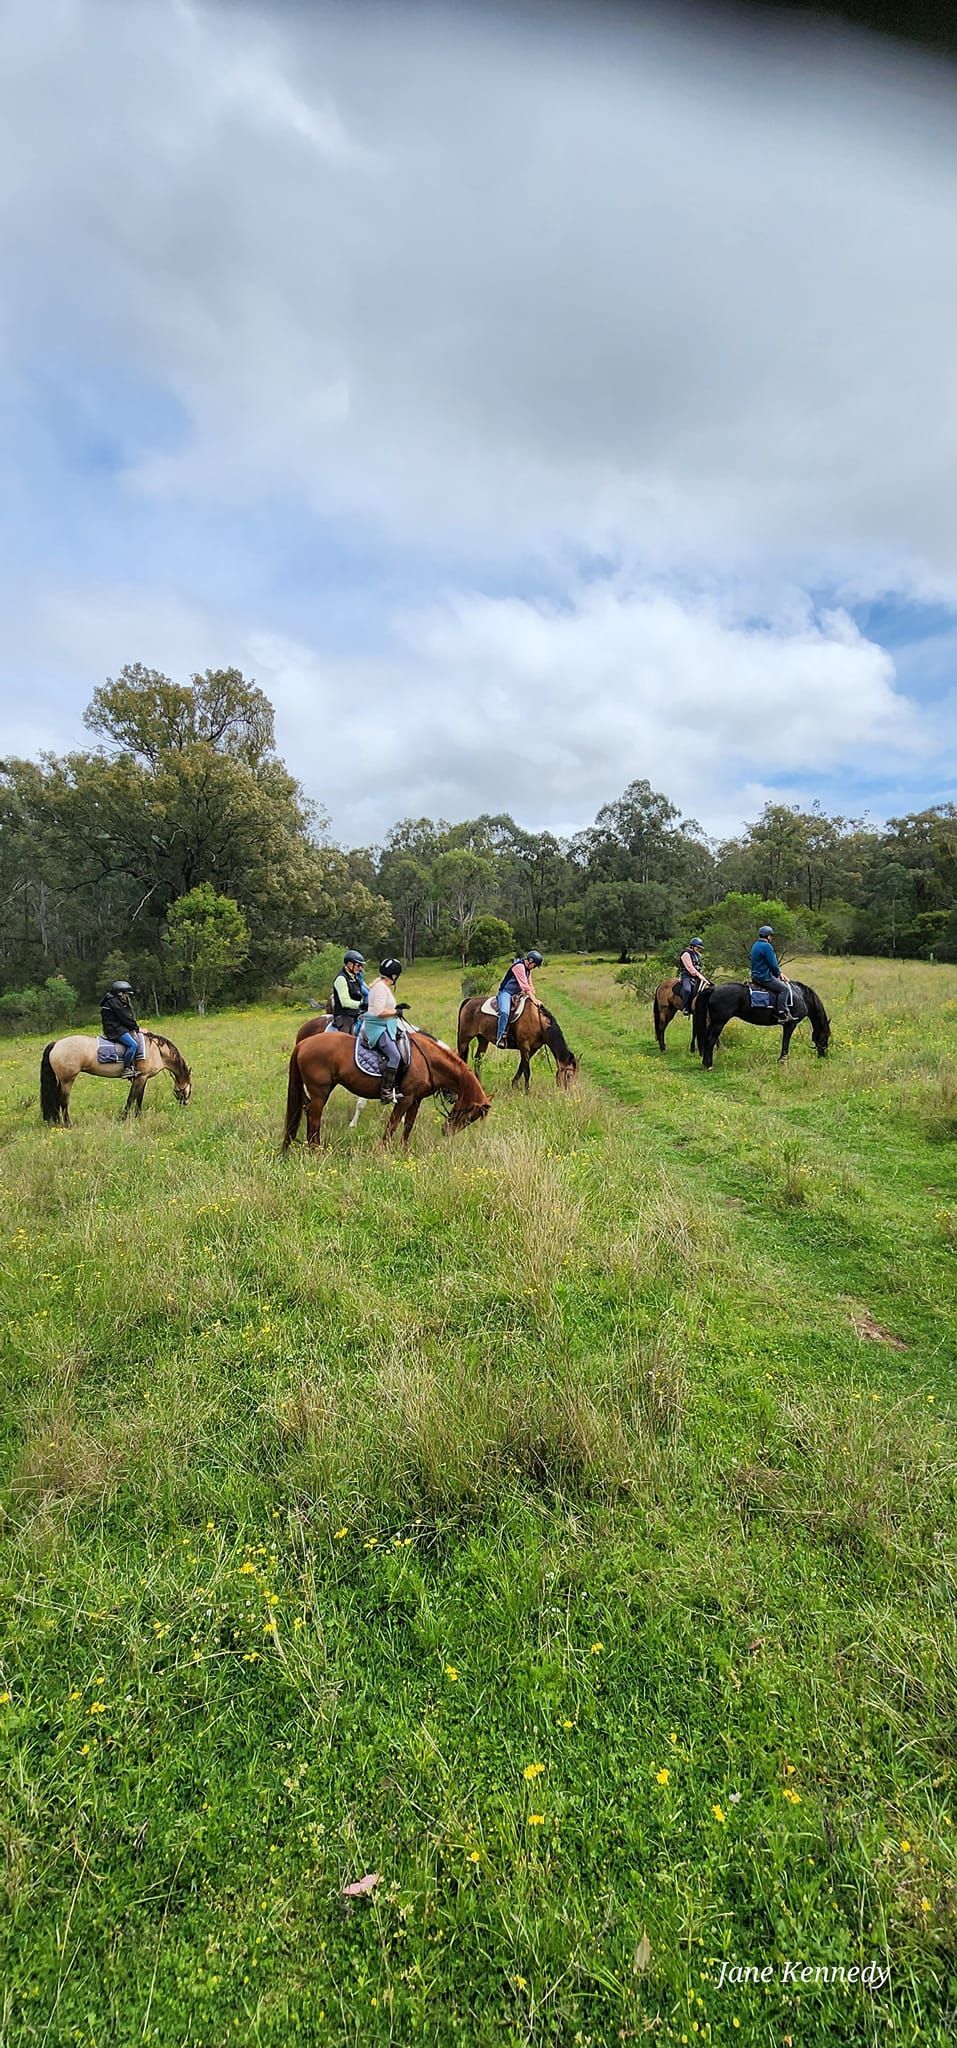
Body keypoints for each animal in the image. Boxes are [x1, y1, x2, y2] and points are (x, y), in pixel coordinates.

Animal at [39, 1032, 192, 1130]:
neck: (157, 1051)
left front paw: (138, 1116)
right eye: (189, 1088)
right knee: (63, 1102)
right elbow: (131, 1098)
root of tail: (56, 1044)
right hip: (67, 1081)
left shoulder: (142, 1078)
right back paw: (68, 1124)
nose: (185, 1104)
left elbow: (139, 1098)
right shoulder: (141, 1078)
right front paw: (123, 1118)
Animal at [280, 1011, 489, 1155]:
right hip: (319, 1092)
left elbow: (408, 1125)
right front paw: (382, 1150)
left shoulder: (416, 1099)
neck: (427, 1058)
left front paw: (404, 1150)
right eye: (470, 1116)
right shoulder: (406, 1098)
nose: (447, 1131)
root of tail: (303, 1044)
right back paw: (316, 1151)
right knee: (314, 1118)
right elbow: (393, 1124)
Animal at [696, 978, 831, 1073]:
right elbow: (785, 1042)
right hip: (719, 1023)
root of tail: (713, 989)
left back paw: (705, 1063)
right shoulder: (790, 1024)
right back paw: (709, 1066)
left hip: (713, 1022)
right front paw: (783, 1060)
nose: (823, 1054)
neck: (800, 996)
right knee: (710, 1040)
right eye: (826, 1035)